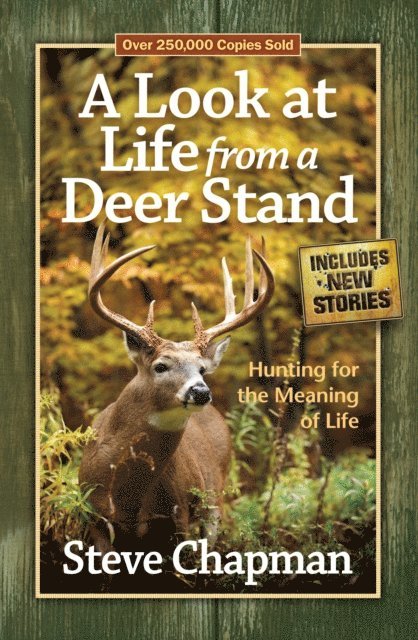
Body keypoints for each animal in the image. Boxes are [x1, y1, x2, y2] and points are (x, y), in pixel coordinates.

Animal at [79, 223, 275, 559]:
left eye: (202, 368)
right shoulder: (94, 519)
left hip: (214, 500)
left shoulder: (177, 515)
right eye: (160, 366)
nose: (200, 391)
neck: (128, 495)